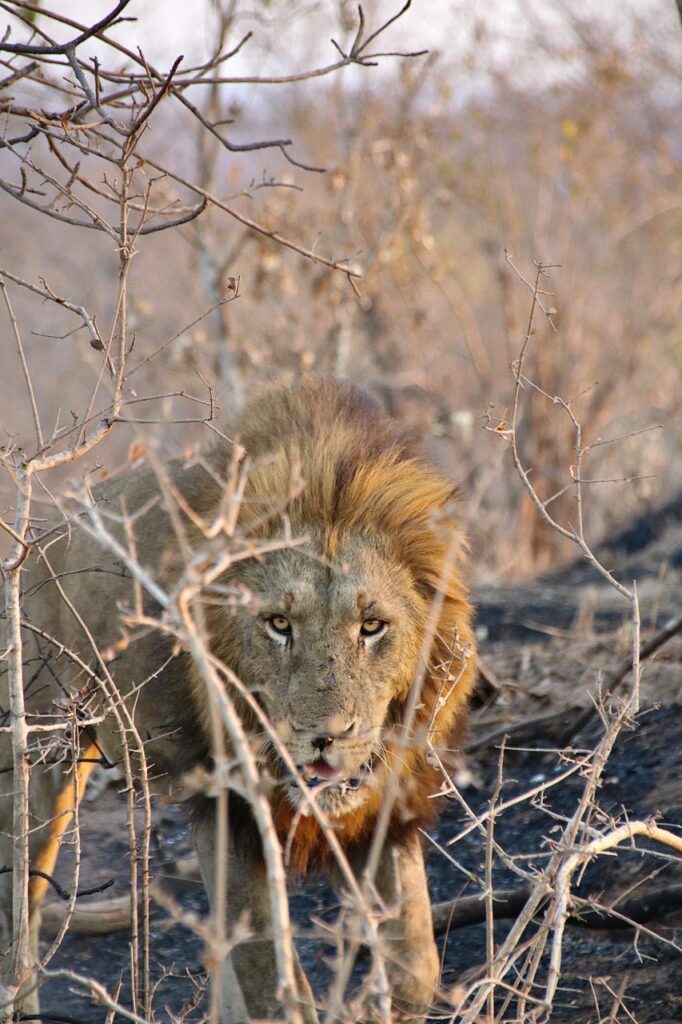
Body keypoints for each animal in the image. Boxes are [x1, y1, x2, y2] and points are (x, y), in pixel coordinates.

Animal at [0, 378, 476, 1022]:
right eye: (278, 624)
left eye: (372, 626)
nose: (323, 735)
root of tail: (41, 533)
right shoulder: (228, 810)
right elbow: (273, 988)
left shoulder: (383, 810)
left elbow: (417, 967)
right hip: (41, 763)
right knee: (18, 906)